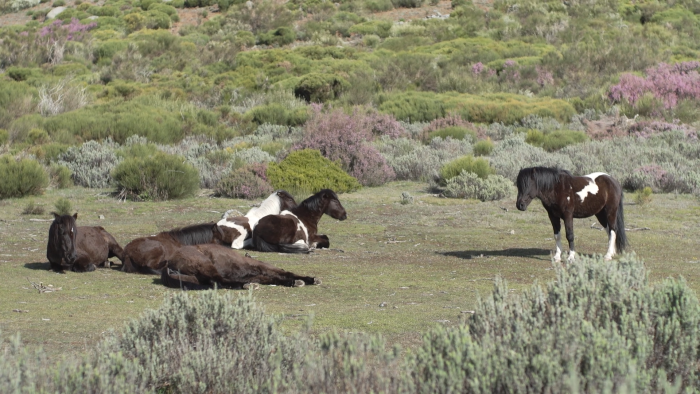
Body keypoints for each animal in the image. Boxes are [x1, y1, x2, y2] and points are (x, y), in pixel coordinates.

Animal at [161, 245, 320, 290]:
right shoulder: (264, 269)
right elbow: (287, 273)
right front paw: (307, 280)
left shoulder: (258, 274)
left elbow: (276, 278)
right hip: (205, 265)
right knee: (220, 281)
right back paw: (248, 286)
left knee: (218, 282)